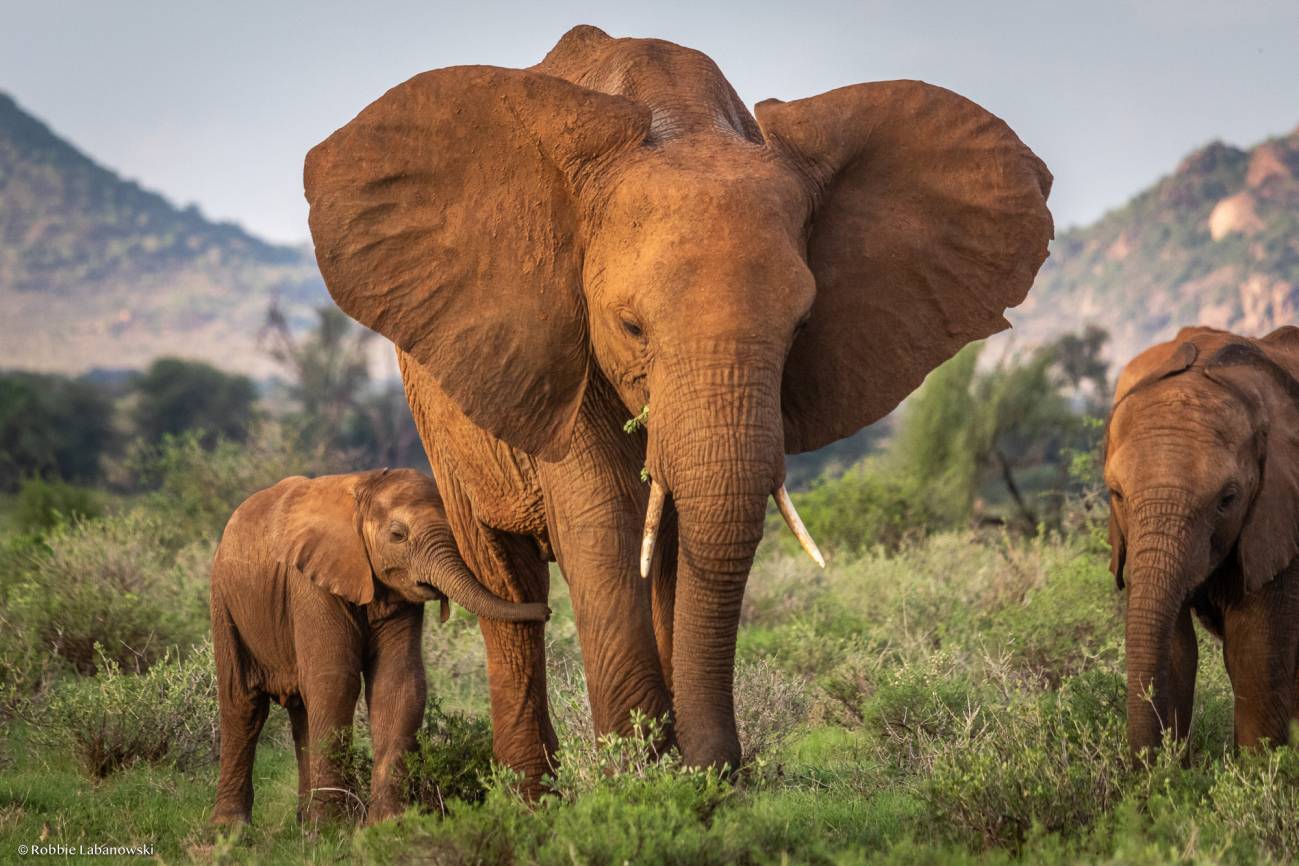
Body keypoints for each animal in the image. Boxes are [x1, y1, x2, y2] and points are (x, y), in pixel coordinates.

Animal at [210, 470, 545, 830]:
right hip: (225, 602)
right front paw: (332, 827)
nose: (546, 610)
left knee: (300, 712)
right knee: (243, 706)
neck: (363, 485)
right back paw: (230, 829)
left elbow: (397, 683)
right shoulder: (310, 583)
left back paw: (302, 823)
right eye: (398, 535)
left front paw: (387, 824)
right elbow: (335, 683)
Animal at [303, 23, 1054, 784]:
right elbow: (604, 522)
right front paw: (641, 779)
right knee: (503, 583)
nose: (719, 767)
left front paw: (685, 780)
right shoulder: (567, 340)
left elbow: (675, 545)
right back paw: (530, 794)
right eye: (630, 326)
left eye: (803, 326)